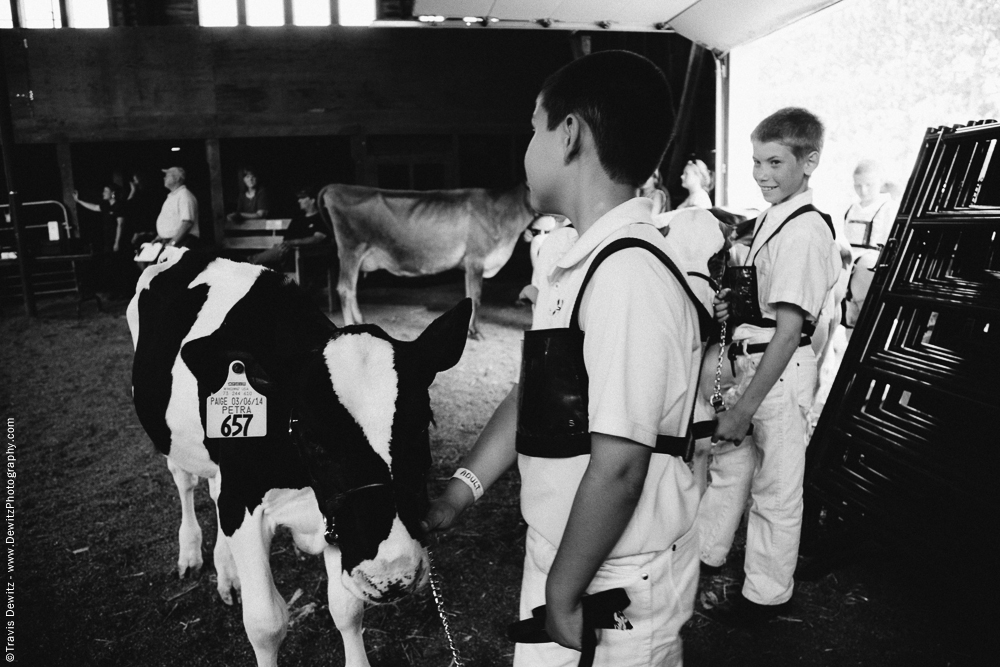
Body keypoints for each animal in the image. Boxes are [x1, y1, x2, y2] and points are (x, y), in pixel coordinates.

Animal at [127, 250, 470, 667]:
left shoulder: (333, 519)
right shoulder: (244, 500)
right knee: (185, 482)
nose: (393, 576)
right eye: (311, 435)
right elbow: (266, 624)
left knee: (212, 488)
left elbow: (347, 609)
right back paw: (191, 552)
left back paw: (227, 573)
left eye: (422, 425)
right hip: (170, 437)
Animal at [320, 183, 540, 340]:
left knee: (352, 290)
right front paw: (476, 332)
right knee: (345, 289)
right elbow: (476, 297)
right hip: (351, 250)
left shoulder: (470, 264)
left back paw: (360, 321)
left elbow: (469, 295)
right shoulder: (476, 259)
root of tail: (335, 187)